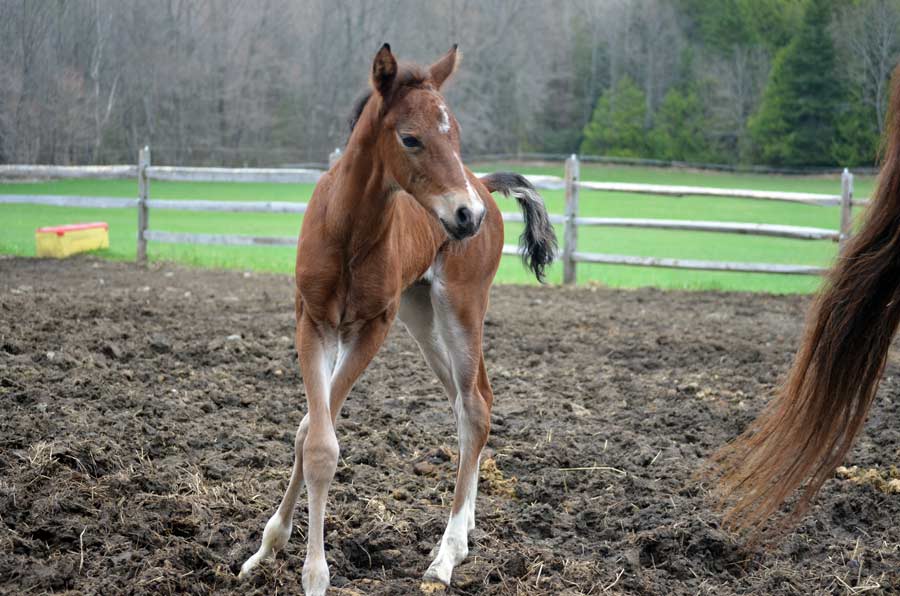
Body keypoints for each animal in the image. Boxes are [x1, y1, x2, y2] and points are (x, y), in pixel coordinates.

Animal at [239, 44, 560, 592]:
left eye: (456, 135)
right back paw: (466, 526)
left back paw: (446, 555)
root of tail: (483, 185)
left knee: (475, 407)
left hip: (460, 307)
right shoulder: (314, 323)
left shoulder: (372, 327)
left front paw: (315, 575)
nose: (466, 216)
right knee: (467, 400)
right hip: (421, 315)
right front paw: (266, 549)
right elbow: (308, 431)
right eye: (410, 138)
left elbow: (322, 443)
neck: (348, 230)